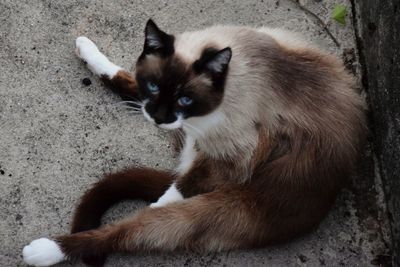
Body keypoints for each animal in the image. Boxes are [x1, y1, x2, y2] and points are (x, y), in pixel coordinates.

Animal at [21, 19, 366, 267]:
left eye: (186, 98)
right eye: (154, 86)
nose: (159, 118)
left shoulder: (236, 157)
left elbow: (177, 190)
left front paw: (159, 202)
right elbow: (130, 84)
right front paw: (90, 53)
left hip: (205, 208)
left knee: (128, 229)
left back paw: (45, 250)